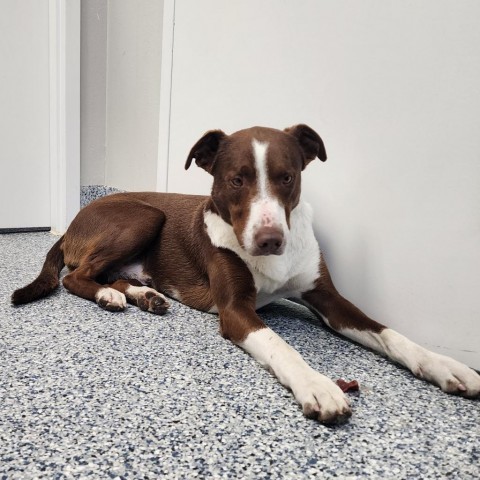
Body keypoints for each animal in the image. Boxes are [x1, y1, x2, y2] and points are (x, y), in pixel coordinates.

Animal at [11, 124, 480, 424]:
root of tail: (75, 219)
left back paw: (143, 295)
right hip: (144, 216)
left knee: (109, 274)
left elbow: (388, 333)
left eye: (287, 178)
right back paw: (111, 296)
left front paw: (443, 365)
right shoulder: (236, 309)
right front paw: (317, 385)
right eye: (236, 180)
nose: (270, 239)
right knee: (76, 276)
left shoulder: (328, 298)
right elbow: (281, 346)